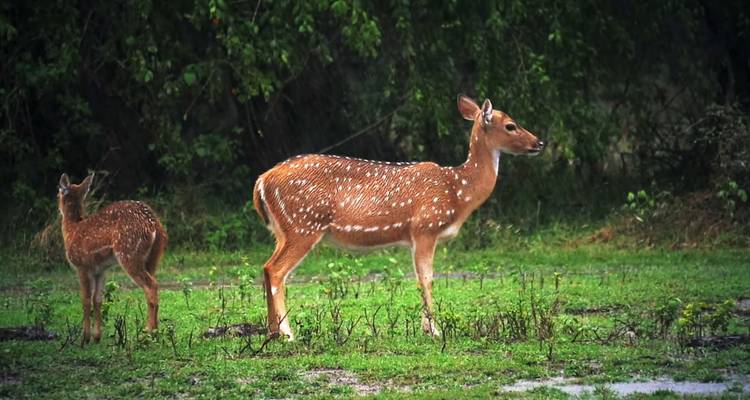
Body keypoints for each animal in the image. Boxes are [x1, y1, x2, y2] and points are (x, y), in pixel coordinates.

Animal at [58, 173, 167, 345]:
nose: (58, 208)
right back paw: (155, 332)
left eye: (58, 192)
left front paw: (84, 338)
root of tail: (155, 224)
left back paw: (148, 333)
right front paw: (97, 337)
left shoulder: (82, 265)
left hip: (129, 253)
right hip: (153, 258)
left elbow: (85, 299)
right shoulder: (101, 269)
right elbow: (98, 299)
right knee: (154, 283)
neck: (72, 230)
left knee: (151, 285)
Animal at [252, 95, 544, 340]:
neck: (457, 192)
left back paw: (272, 332)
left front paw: (427, 327)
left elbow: (420, 278)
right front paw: (433, 330)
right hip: (303, 224)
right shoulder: (425, 227)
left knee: (266, 268)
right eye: (511, 125)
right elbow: (426, 278)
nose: (539, 143)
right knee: (276, 271)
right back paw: (287, 333)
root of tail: (262, 181)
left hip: (283, 230)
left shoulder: (416, 236)